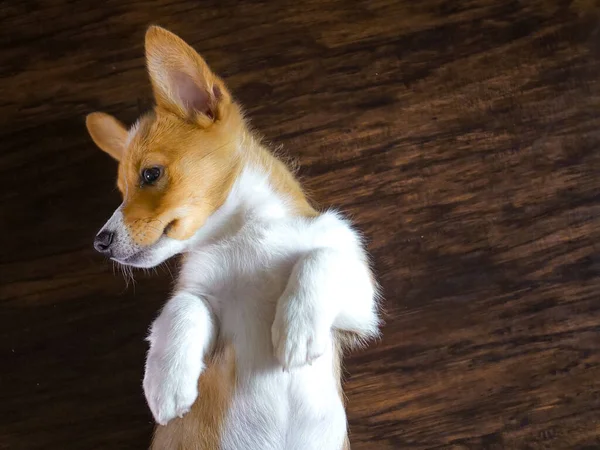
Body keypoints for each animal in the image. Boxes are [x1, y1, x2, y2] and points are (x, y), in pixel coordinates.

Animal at [88, 25, 380, 450]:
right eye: (121, 192)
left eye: (150, 174)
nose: (100, 242)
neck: (242, 234)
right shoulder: (204, 303)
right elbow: (182, 306)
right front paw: (166, 382)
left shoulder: (359, 309)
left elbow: (320, 258)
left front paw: (297, 329)